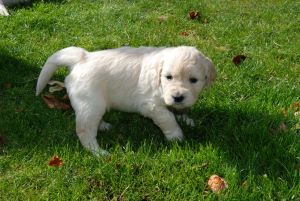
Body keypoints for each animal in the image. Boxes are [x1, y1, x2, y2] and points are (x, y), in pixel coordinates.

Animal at [36, 46, 217, 155]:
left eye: (193, 80)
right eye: (169, 77)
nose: (178, 97)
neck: (159, 80)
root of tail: (82, 58)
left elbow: (177, 111)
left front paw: (186, 119)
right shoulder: (150, 106)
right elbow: (168, 118)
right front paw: (176, 136)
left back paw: (103, 126)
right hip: (90, 104)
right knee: (84, 130)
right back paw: (99, 153)